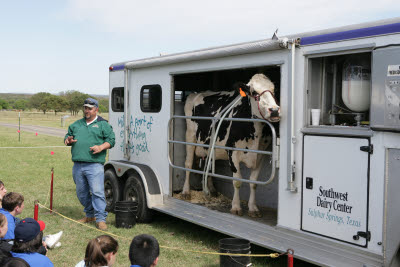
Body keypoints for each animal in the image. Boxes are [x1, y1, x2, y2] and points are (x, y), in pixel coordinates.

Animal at [183, 74, 280, 218]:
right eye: (254, 92)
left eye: (273, 90)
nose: (274, 110)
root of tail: (196, 93)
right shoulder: (232, 152)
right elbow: (237, 181)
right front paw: (236, 207)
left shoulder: (260, 154)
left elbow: (254, 183)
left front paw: (253, 208)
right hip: (190, 136)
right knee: (188, 164)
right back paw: (186, 192)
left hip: (209, 145)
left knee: (208, 165)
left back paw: (211, 190)